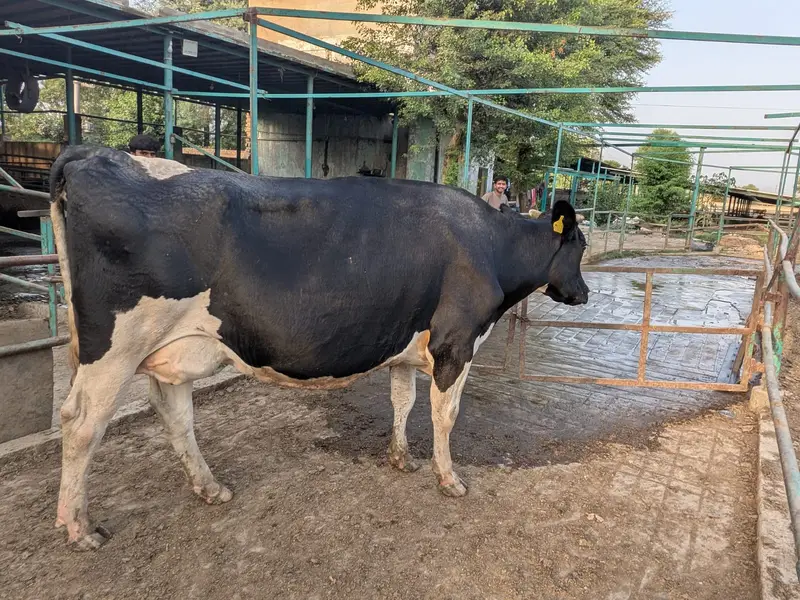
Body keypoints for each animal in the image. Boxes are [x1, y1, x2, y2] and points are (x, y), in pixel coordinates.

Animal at [48, 146, 589, 550]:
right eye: (581, 247)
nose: (583, 294)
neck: (490, 246)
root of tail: (95, 154)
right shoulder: (457, 342)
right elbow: (445, 414)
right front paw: (449, 478)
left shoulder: (408, 341)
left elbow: (403, 400)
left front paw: (401, 459)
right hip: (113, 349)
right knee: (81, 423)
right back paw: (80, 527)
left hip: (170, 348)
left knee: (175, 413)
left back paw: (210, 488)